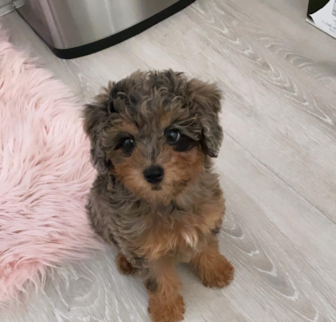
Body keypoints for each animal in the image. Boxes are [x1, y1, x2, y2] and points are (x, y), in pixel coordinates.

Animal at [84, 70, 234, 322]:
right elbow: (159, 281)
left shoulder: (208, 219)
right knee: (116, 241)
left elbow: (208, 248)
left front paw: (216, 270)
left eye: (173, 134)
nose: (153, 173)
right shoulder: (145, 250)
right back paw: (125, 260)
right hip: (99, 213)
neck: (169, 202)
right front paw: (166, 310)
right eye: (127, 142)